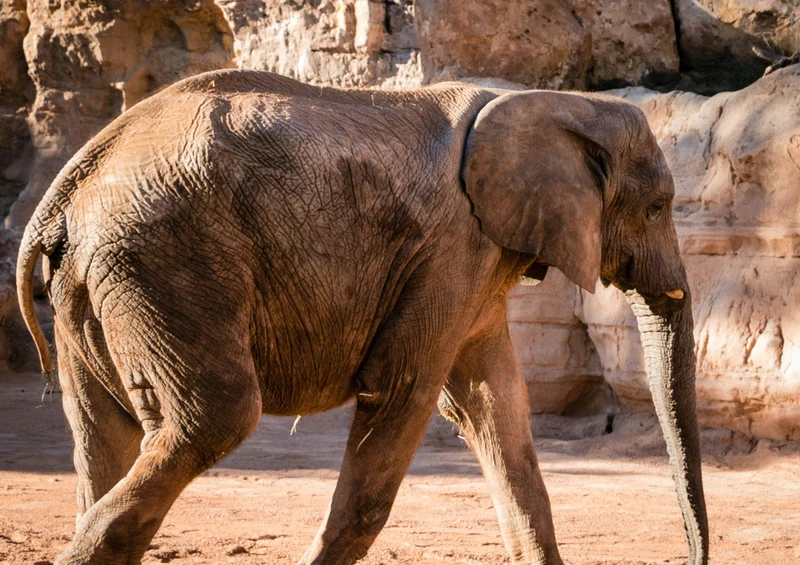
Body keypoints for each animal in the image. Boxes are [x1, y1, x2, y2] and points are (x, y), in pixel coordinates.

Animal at [17, 70, 708, 565]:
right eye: (657, 207)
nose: (693, 555)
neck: (546, 101)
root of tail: (68, 187)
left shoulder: (474, 263)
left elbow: (497, 406)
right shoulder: (451, 248)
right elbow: (406, 392)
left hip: (98, 282)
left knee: (102, 433)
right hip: (167, 260)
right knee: (215, 415)